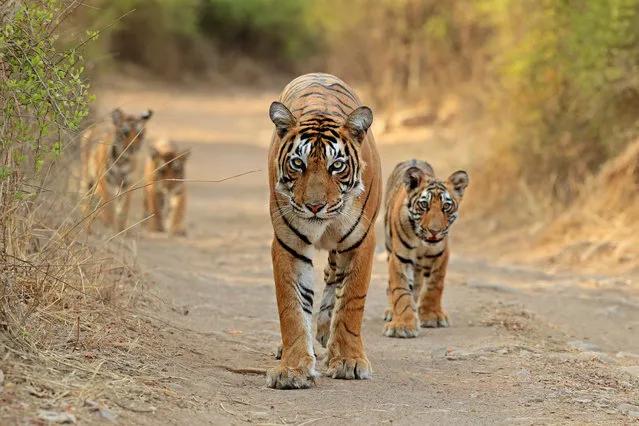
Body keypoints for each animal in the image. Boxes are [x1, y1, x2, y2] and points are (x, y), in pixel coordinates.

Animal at [268, 73, 382, 390]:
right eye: (298, 163)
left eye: (337, 166)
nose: (315, 206)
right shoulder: (289, 245)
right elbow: (292, 308)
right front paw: (292, 368)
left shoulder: (361, 242)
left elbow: (352, 302)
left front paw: (349, 361)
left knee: (334, 281)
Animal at [382, 158, 468, 338]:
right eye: (423, 205)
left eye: (446, 207)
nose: (434, 231)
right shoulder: (400, 257)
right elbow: (400, 290)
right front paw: (401, 325)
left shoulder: (440, 255)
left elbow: (434, 285)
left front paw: (431, 316)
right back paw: (391, 311)